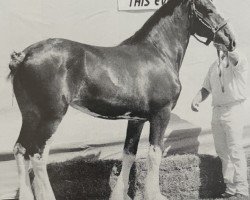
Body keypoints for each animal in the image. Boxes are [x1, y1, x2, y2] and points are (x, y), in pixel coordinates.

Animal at [9, 0, 236, 199]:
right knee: (38, 155)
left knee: (21, 150)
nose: (231, 40)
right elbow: (155, 153)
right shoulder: (161, 114)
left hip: (30, 115)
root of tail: (25, 55)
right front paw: (155, 195)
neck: (158, 53)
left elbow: (129, 154)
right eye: (208, 9)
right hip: (51, 116)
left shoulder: (136, 120)